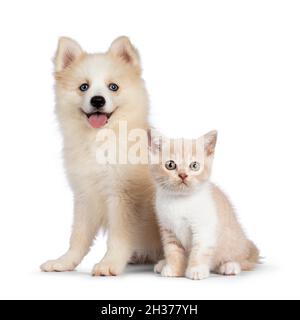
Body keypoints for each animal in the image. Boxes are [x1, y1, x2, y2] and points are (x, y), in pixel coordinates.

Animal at [41, 35, 162, 276]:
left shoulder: (123, 196)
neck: (100, 140)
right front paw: (65, 261)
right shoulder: (84, 196)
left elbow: (119, 237)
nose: (97, 100)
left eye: (113, 87)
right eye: (83, 87)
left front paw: (110, 263)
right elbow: (78, 236)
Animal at [149, 130, 258, 280]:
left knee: (243, 261)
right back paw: (162, 263)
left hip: (234, 241)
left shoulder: (204, 228)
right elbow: (172, 250)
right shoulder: (168, 229)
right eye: (170, 165)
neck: (181, 200)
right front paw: (174, 269)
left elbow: (199, 250)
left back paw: (229, 266)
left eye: (194, 165)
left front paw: (196, 270)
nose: (183, 175)